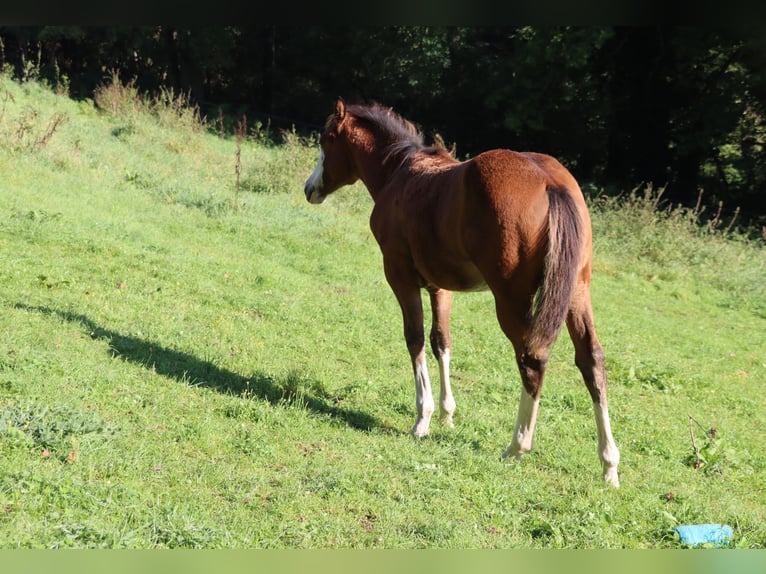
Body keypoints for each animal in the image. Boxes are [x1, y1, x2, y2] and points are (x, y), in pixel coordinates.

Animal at [304, 98, 620, 486]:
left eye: (327, 140)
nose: (310, 188)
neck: (400, 173)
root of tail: (551, 183)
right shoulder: (440, 285)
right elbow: (441, 340)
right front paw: (446, 413)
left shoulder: (399, 275)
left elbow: (414, 338)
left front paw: (422, 419)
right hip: (576, 293)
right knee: (592, 360)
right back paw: (609, 464)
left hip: (511, 299)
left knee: (532, 359)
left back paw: (517, 446)